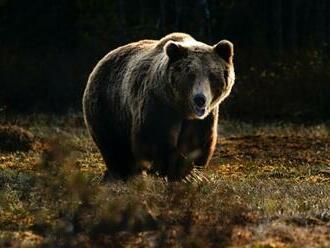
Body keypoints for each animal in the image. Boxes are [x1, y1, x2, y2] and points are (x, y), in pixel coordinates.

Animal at [84, 32, 236, 180]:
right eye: (190, 75)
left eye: (212, 76)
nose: (200, 99)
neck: (182, 108)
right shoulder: (158, 104)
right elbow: (155, 138)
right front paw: (179, 172)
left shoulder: (204, 118)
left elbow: (197, 142)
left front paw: (190, 171)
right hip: (109, 105)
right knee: (114, 145)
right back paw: (122, 173)